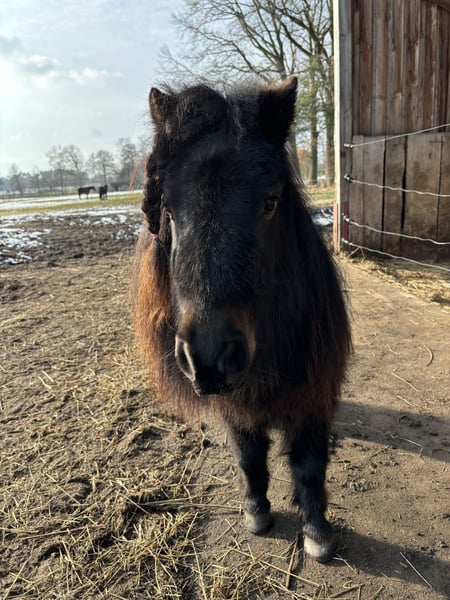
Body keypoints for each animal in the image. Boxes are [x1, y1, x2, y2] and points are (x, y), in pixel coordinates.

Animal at [133, 77, 352, 563]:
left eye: (270, 202)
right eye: (168, 210)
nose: (211, 355)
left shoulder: (314, 394)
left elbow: (310, 465)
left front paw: (317, 532)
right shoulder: (233, 403)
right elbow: (248, 456)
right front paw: (256, 511)